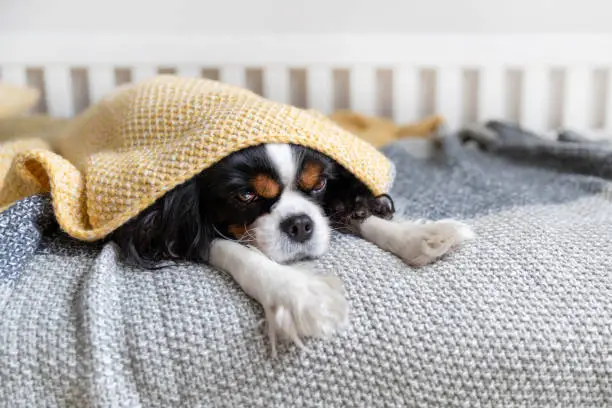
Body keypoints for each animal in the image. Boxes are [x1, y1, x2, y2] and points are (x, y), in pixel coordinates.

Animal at [111, 142, 474, 350]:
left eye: (321, 183)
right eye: (246, 195)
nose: (300, 224)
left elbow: (352, 214)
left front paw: (421, 236)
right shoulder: (176, 229)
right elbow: (239, 252)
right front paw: (298, 294)